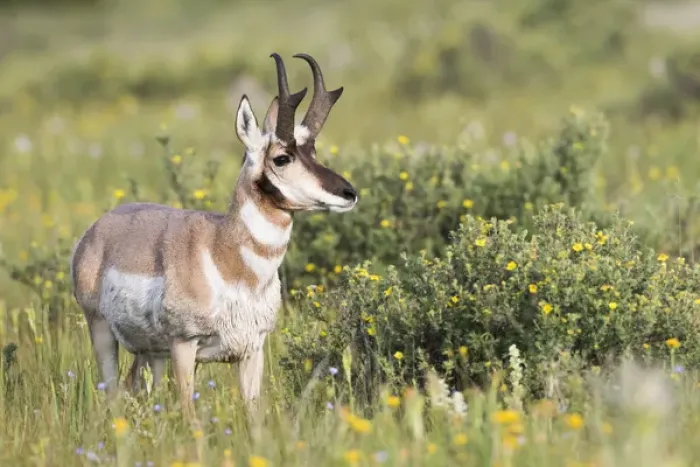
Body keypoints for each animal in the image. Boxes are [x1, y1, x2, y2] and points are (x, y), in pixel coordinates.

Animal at [70, 52, 358, 418]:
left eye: (314, 153)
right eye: (282, 157)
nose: (349, 193)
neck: (226, 256)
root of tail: (96, 229)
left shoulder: (252, 349)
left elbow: (254, 413)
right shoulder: (184, 345)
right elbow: (189, 414)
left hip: (150, 353)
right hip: (103, 332)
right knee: (111, 393)